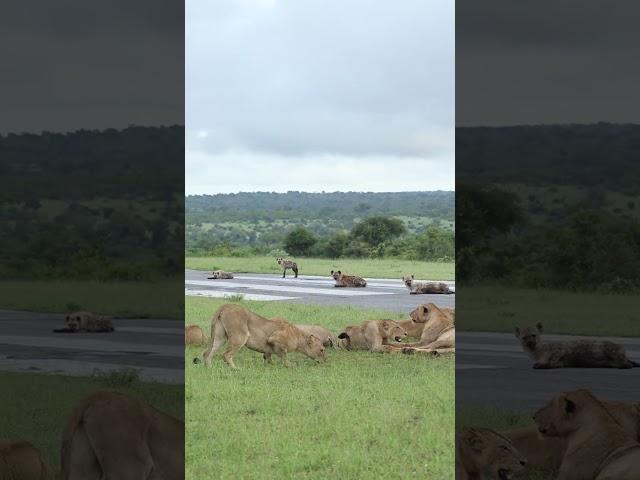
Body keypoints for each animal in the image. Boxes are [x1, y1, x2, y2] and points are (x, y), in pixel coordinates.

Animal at [196, 306, 328, 370]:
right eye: (322, 350)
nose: (326, 361)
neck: (298, 336)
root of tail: (225, 307)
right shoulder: (275, 339)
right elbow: (284, 356)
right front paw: (290, 366)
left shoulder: (268, 349)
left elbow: (268, 357)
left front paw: (270, 365)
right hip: (241, 336)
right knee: (226, 355)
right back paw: (236, 369)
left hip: (220, 337)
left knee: (207, 353)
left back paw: (209, 368)